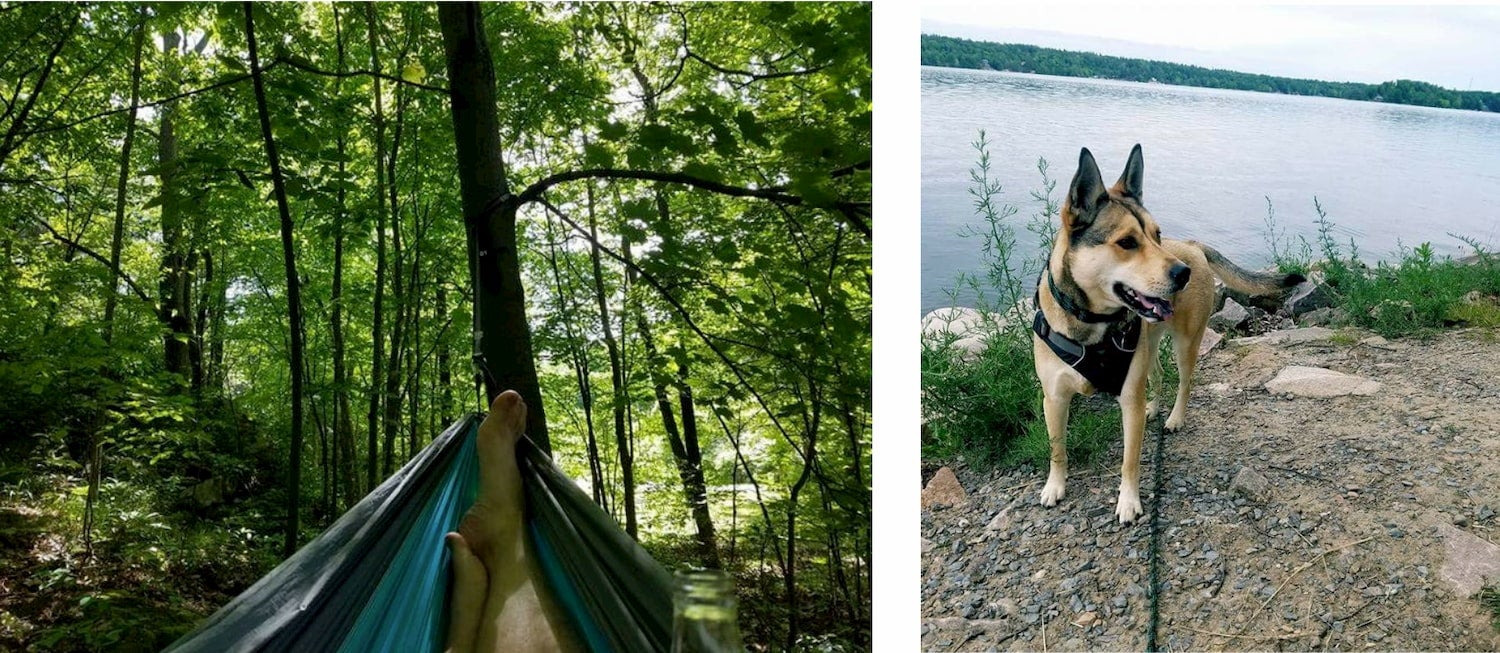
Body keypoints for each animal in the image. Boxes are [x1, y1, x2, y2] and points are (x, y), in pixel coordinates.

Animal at [1032, 144, 1302, 525]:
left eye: (1156, 235)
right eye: (1127, 242)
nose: (1182, 273)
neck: (1092, 324)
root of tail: (1191, 246)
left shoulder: (1128, 397)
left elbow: (1130, 460)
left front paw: (1128, 502)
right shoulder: (1054, 398)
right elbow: (1057, 448)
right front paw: (1054, 486)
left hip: (1185, 343)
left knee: (1185, 382)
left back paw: (1174, 418)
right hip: (1149, 345)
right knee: (1158, 375)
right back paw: (1156, 408)